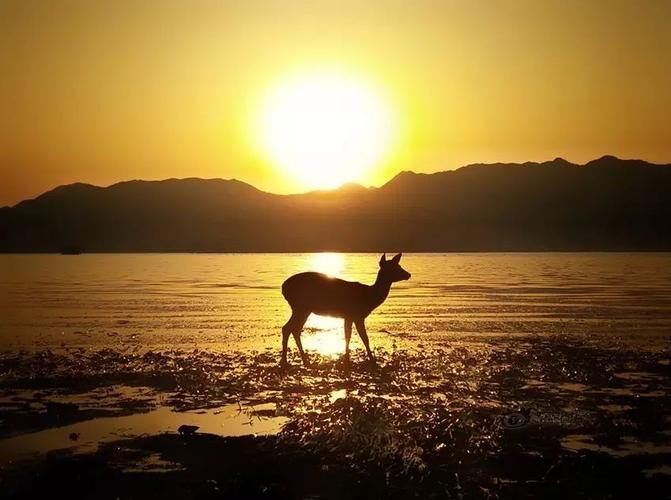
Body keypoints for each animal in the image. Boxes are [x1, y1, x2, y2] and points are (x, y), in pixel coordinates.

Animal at [278, 254, 410, 368]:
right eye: (394, 267)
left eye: (399, 265)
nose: (408, 274)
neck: (369, 297)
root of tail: (283, 288)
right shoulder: (356, 315)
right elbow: (362, 337)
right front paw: (370, 361)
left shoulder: (349, 316)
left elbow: (350, 336)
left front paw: (347, 359)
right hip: (301, 306)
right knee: (288, 328)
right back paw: (287, 361)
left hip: (303, 309)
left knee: (293, 329)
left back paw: (302, 361)